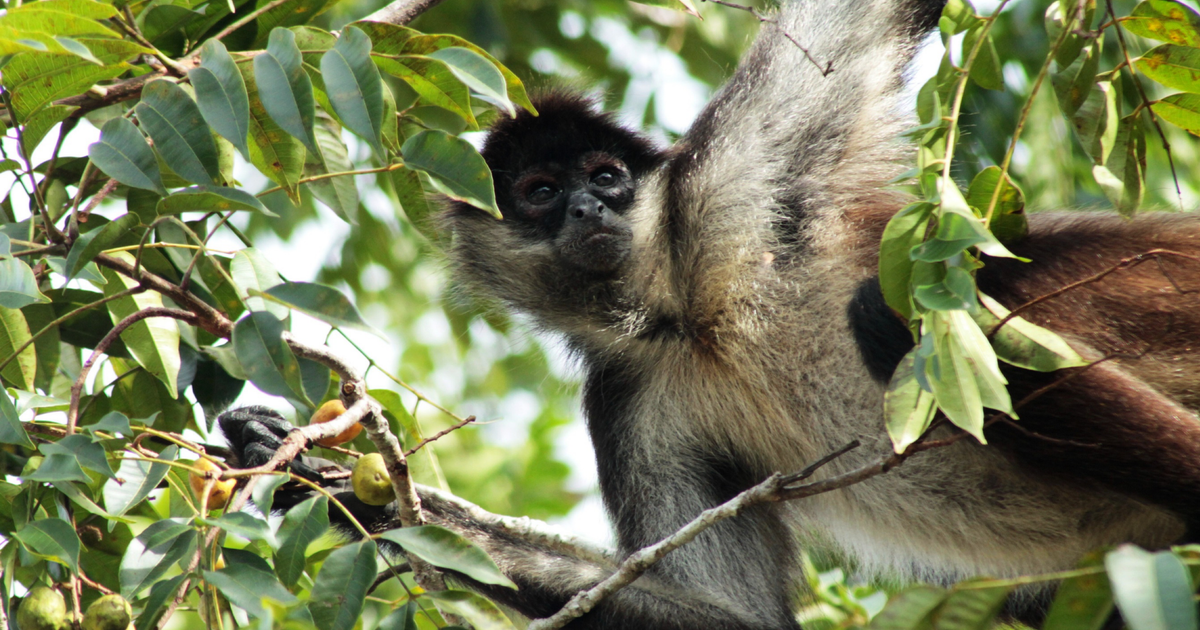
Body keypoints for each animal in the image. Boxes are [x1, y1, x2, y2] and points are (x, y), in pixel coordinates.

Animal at [218, 0, 1200, 627]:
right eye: (540, 193)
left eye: (606, 175)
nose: (590, 207)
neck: (686, 315)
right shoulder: (628, 393)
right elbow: (739, 619)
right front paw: (337, 489)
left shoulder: (736, 174)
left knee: (893, 313)